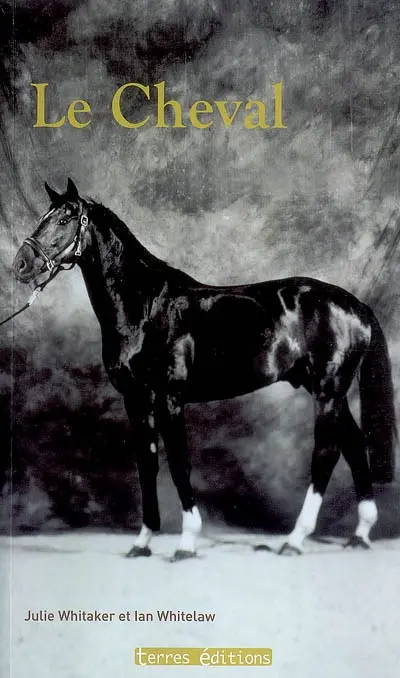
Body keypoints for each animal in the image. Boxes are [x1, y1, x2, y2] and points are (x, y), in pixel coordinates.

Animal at [12, 179, 396, 559]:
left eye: (65, 219)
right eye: (45, 217)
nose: (21, 264)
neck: (147, 306)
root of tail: (356, 305)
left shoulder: (169, 398)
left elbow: (178, 463)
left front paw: (186, 542)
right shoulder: (136, 399)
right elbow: (147, 464)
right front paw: (143, 541)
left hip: (328, 389)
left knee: (326, 453)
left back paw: (295, 539)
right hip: (326, 389)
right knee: (354, 444)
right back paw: (359, 535)